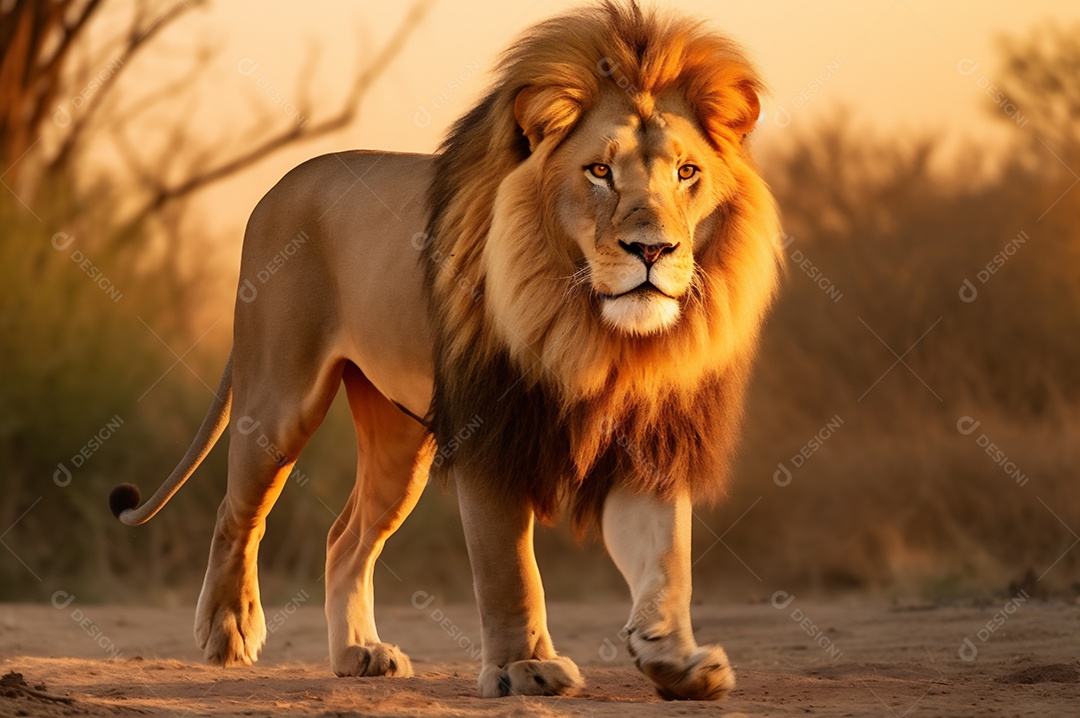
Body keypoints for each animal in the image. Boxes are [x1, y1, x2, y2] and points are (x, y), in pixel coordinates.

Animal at [108, 1, 780, 701]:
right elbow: (509, 569)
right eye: (600, 171)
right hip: (277, 398)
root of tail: (280, 185)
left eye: (686, 173)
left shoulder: (652, 439)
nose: (652, 250)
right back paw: (227, 631)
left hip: (401, 440)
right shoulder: (492, 432)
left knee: (345, 537)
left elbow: (667, 557)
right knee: (236, 514)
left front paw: (677, 659)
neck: (596, 333)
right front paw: (524, 667)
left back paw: (359, 653)